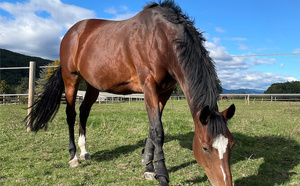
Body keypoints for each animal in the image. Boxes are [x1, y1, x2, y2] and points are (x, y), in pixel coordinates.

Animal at [25, 0, 236, 185]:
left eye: (231, 145)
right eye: (205, 148)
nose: (225, 183)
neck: (160, 38)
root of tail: (72, 31)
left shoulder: (165, 90)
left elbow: (153, 127)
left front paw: (148, 167)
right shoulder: (148, 86)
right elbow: (157, 130)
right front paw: (161, 175)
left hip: (93, 85)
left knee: (84, 112)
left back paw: (85, 152)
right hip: (71, 78)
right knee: (71, 114)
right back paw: (74, 156)